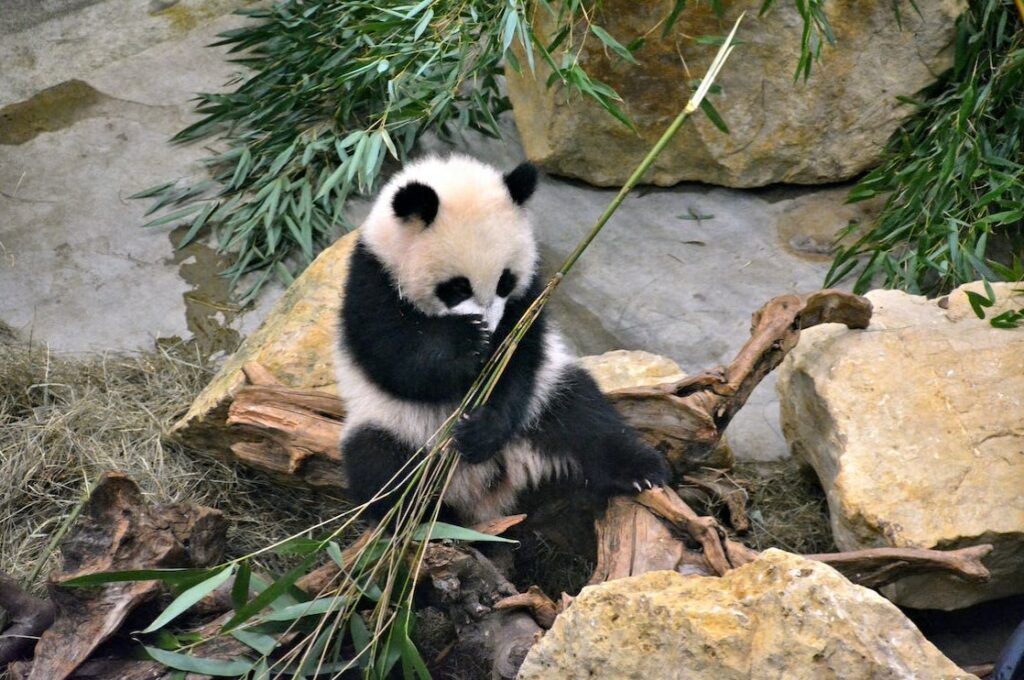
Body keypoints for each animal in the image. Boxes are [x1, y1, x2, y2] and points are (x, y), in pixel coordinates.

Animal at [335, 154, 670, 524]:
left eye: (504, 282)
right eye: (457, 288)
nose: (492, 328)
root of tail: (492, 487)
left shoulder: (529, 296)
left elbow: (520, 358)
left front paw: (482, 426)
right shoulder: (371, 282)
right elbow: (397, 362)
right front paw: (465, 340)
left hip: (543, 402)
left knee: (588, 420)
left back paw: (641, 470)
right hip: (395, 427)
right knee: (383, 471)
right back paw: (434, 524)